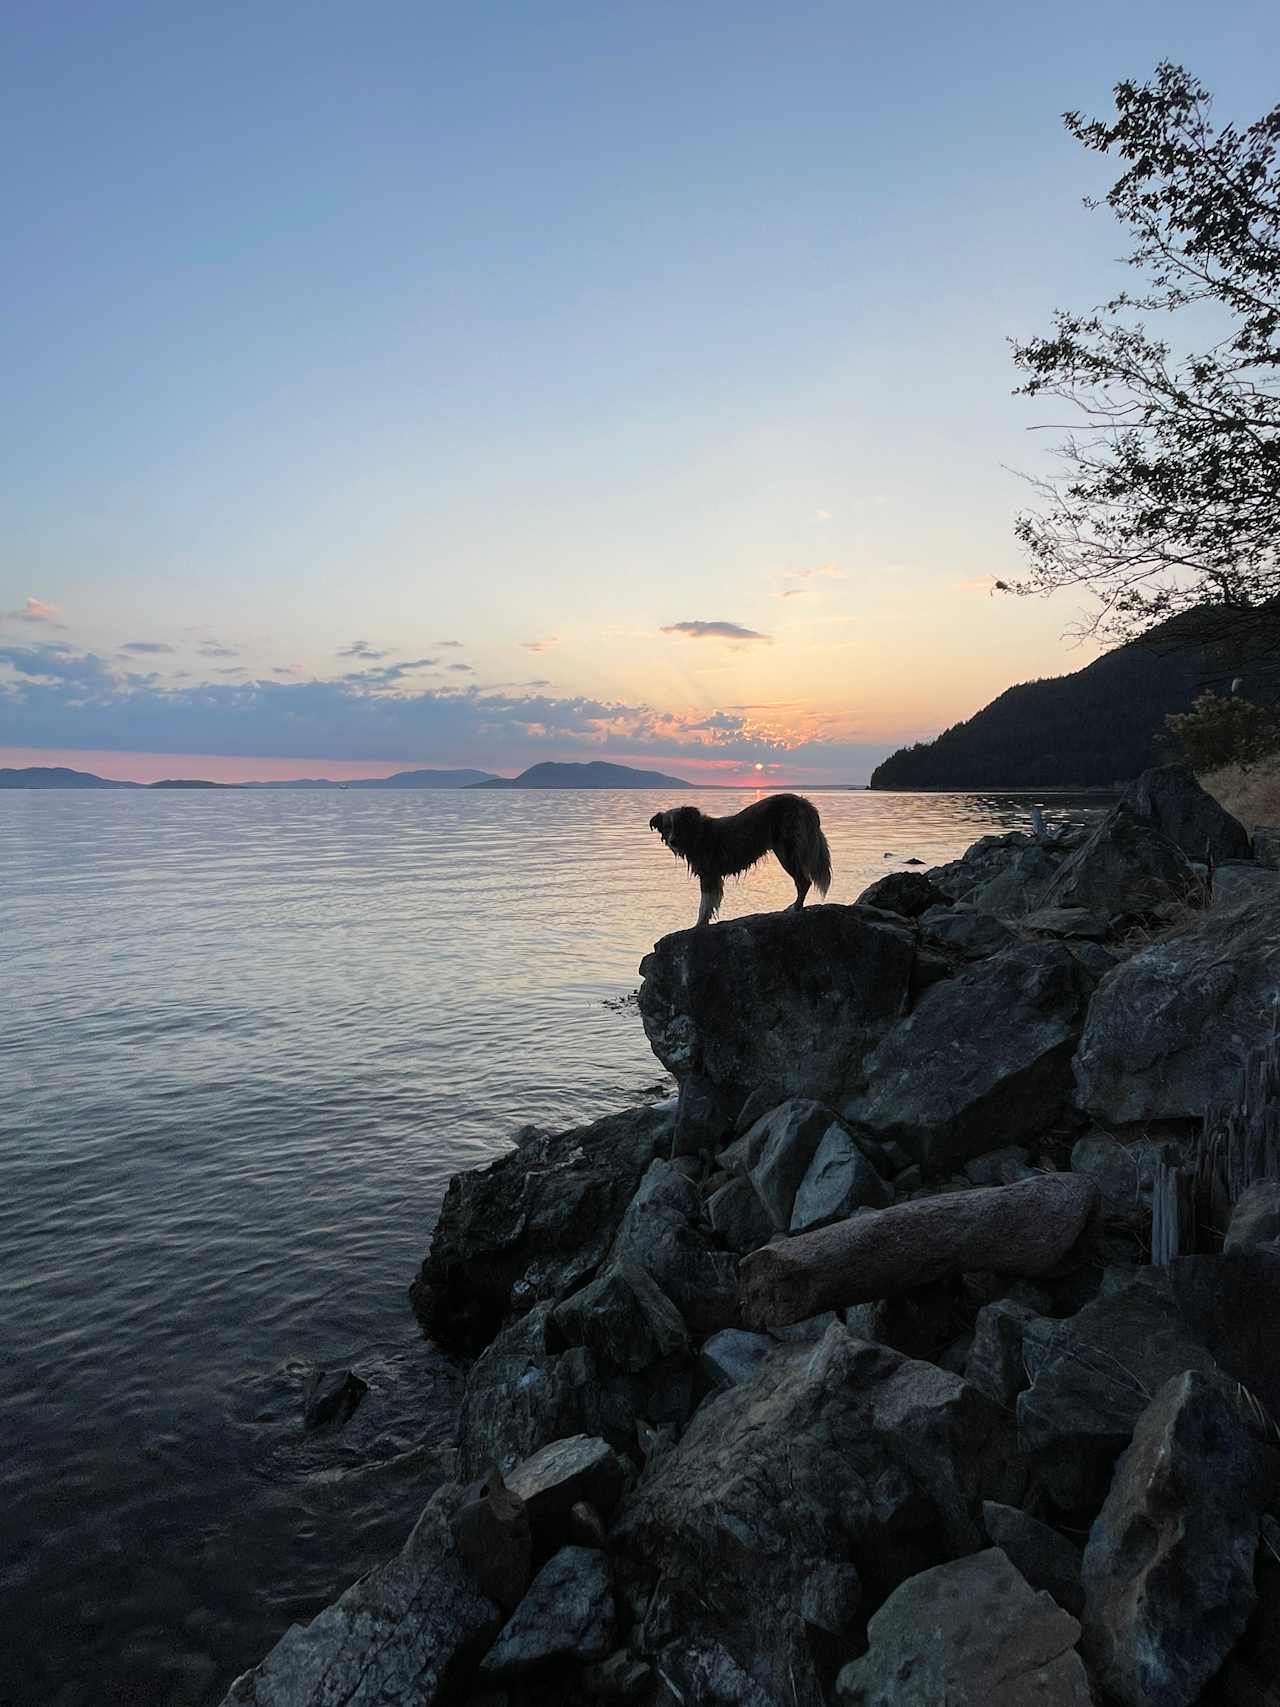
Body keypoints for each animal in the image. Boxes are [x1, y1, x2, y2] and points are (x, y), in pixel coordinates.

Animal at [651, 792, 832, 928]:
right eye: (667, 828)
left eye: (678, 826)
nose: (672, 841)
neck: (697, 834)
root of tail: (804, 802)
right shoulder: (714, 877)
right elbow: (711, 904)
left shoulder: (708, 876)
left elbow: (704, 905)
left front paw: (698, 925)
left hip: (786, 851)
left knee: (804, 881)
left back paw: (795, 908)